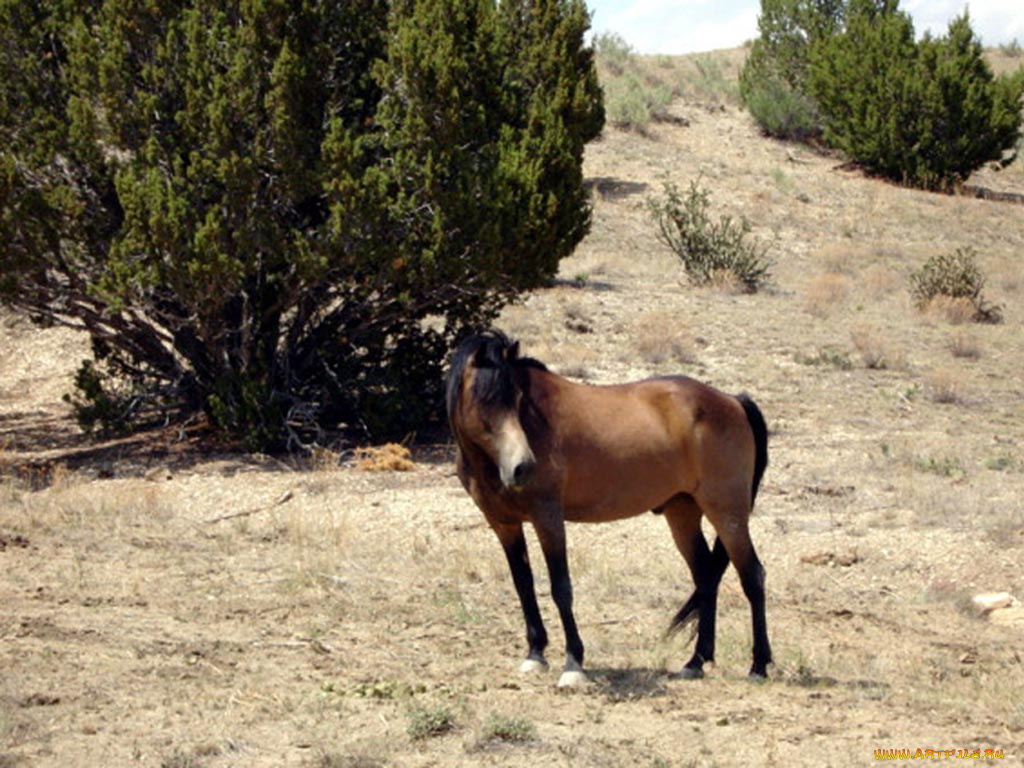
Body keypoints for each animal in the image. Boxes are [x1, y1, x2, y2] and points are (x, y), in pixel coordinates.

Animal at [444, 329, 770, 684]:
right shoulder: (504, 524)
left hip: (727, 512)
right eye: (485, 400)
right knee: (706, 577)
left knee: (752, 575)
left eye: (517, 400)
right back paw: (695, 662)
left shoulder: (548, 517)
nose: (522, 467)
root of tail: (733, 401)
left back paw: (758, 666)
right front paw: (535, 654)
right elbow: (524, 585)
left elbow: (561, 587)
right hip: (683, 513)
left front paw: (573, 663)